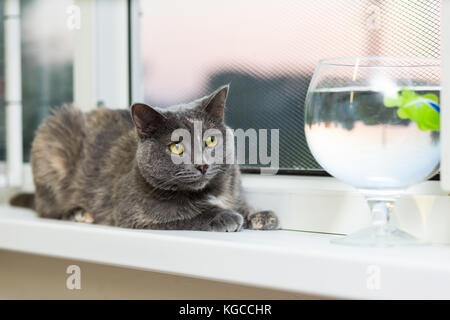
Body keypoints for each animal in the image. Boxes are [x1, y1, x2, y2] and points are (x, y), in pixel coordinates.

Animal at [9, 85, 278, 231]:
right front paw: (225, 216)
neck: (209, 191)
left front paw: (261, 215)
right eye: (176, 148)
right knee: (46, 208)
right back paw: (77, 213)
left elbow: (240, 203)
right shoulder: (135, 211)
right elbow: (183, 213)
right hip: (53, 137)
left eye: (210, 140)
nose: (202, 164)